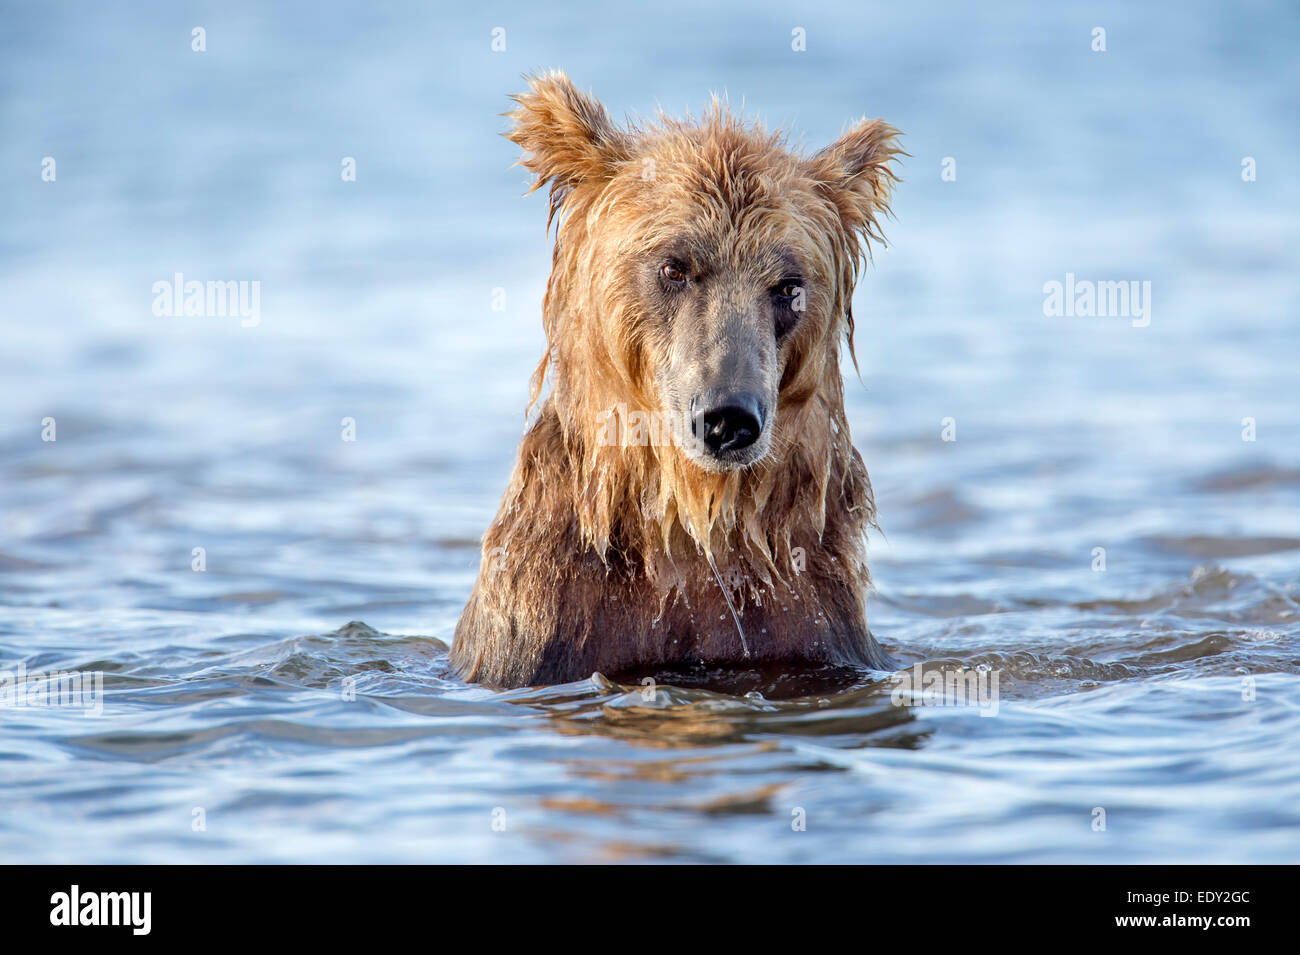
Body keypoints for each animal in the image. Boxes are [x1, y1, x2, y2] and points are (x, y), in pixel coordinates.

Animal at [454, 72, 904, 686]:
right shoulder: (546, 622)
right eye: (674, 267)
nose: (728, 418)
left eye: (788, 286)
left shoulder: (809, 620)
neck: (689, 526)